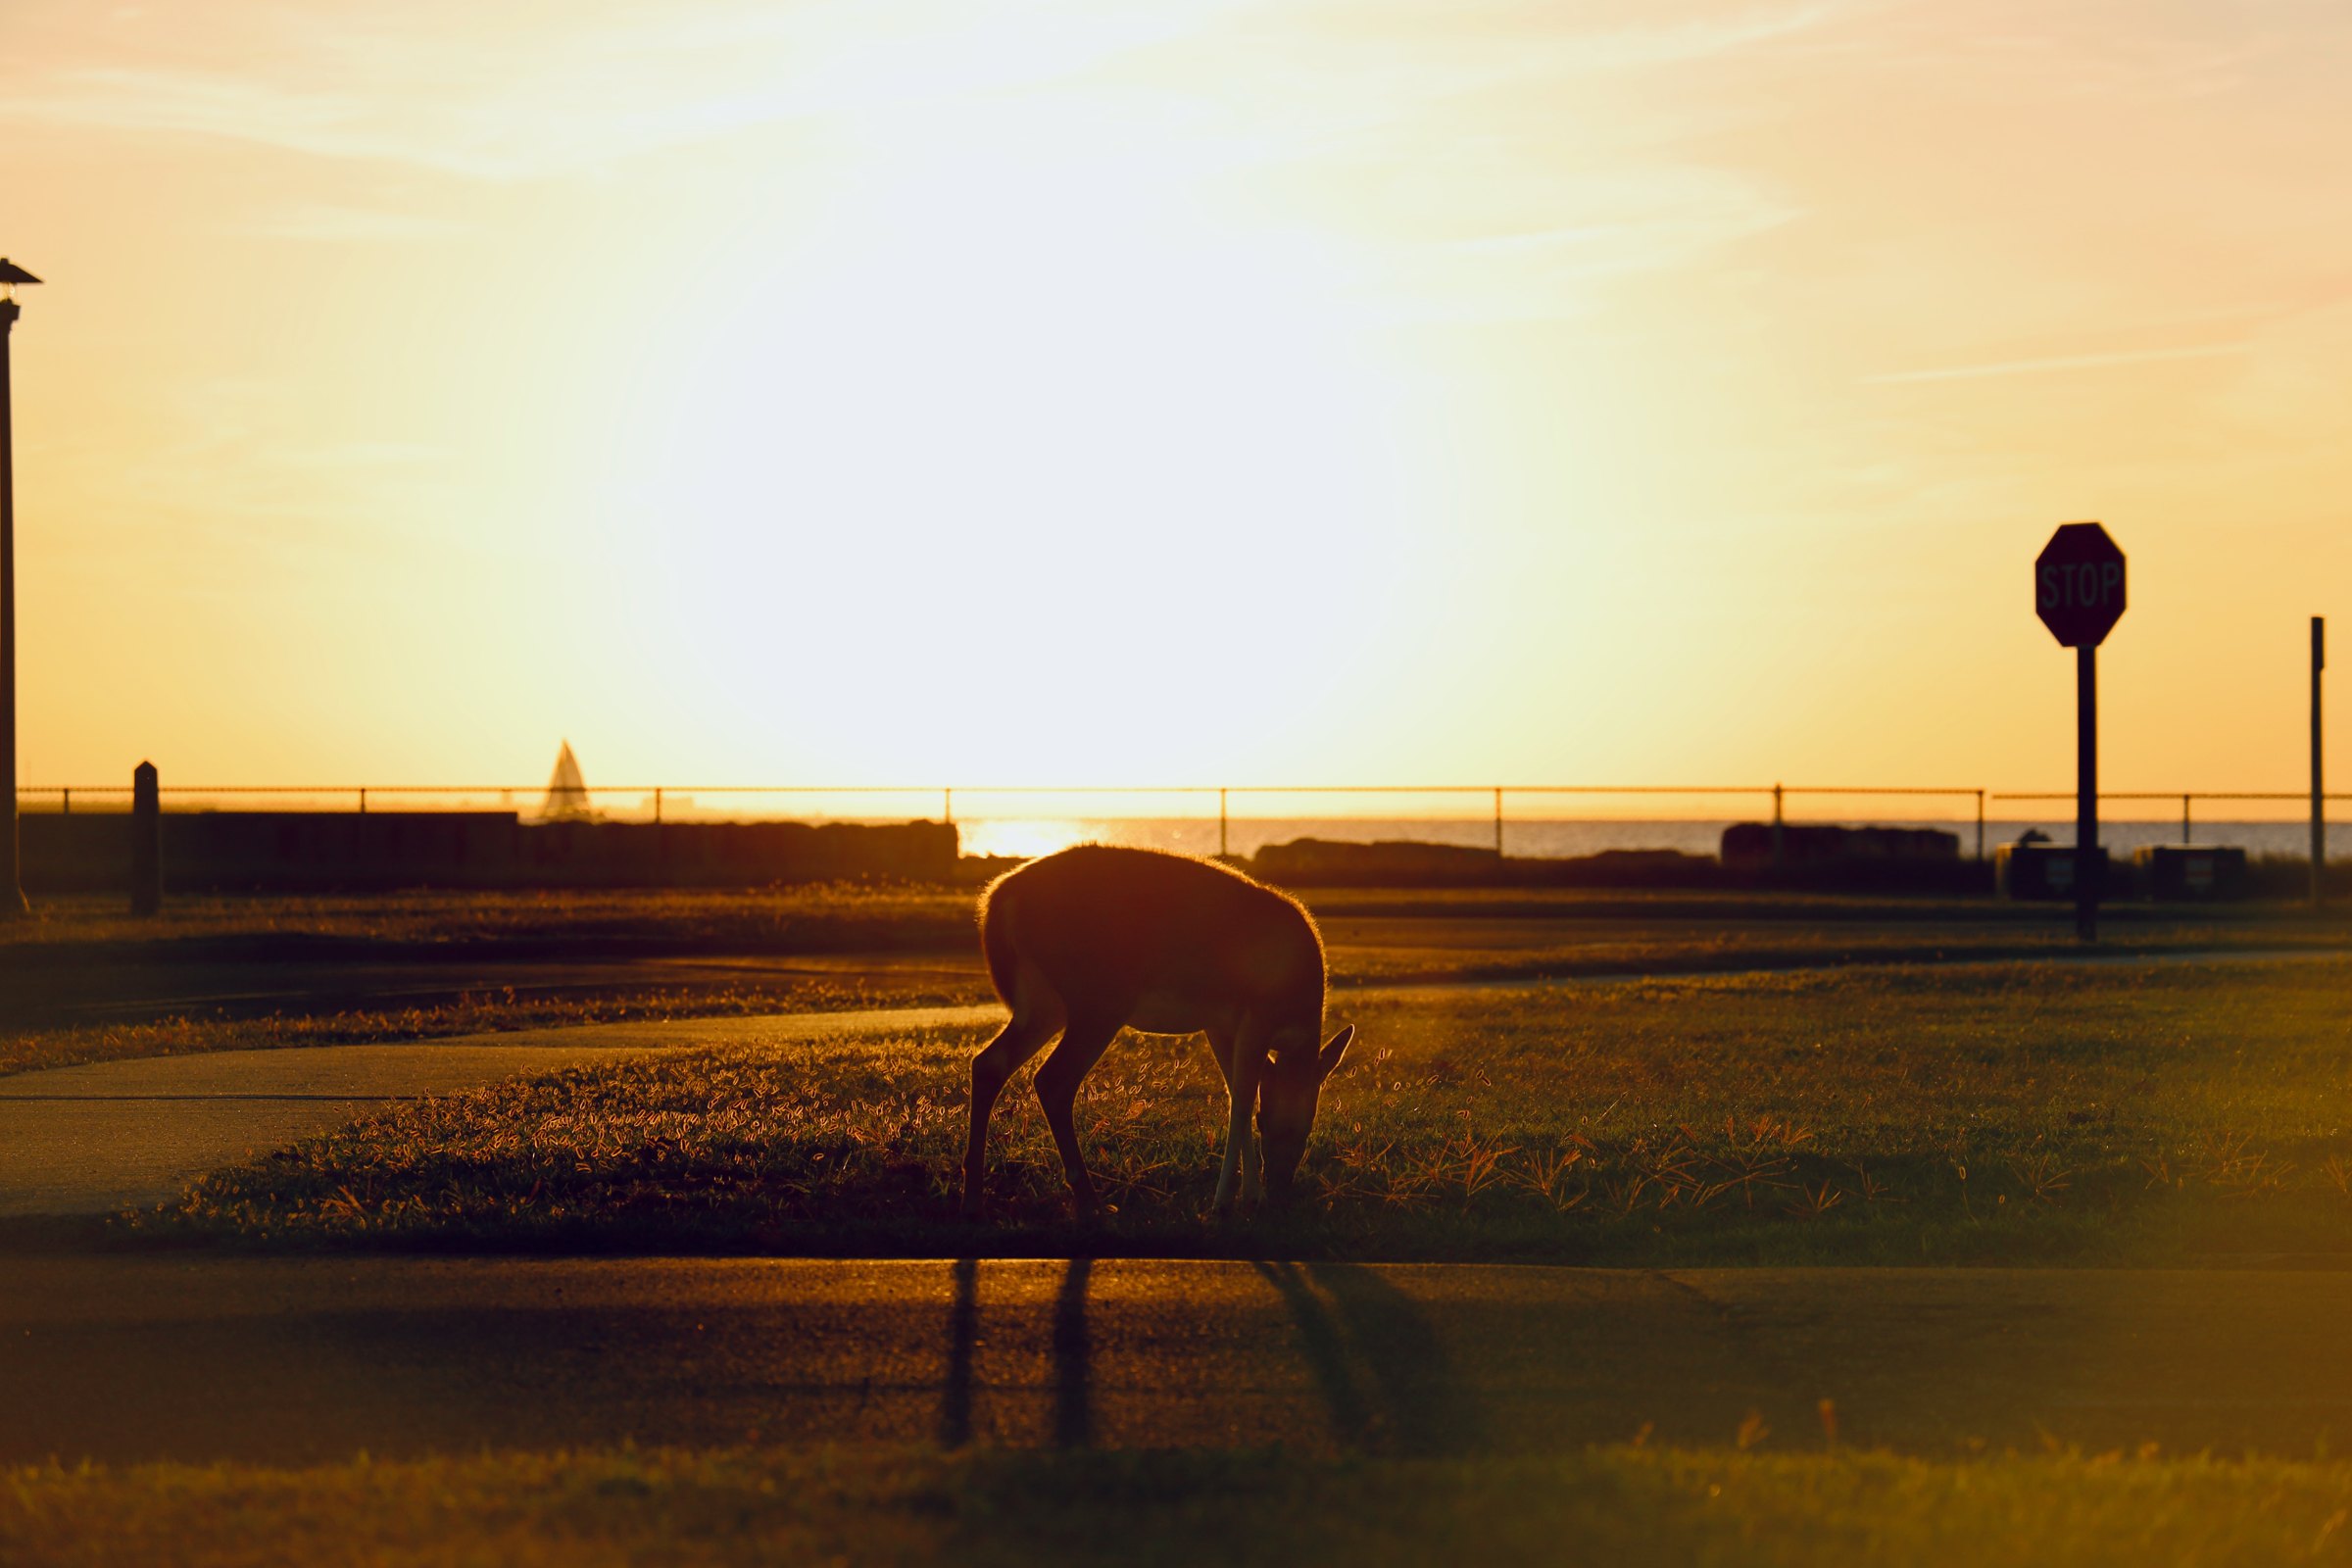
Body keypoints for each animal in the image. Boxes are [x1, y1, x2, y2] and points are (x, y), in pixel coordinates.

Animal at [961, 844, 1354, 1220]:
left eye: (1308, 1126)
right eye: (1270, 1123)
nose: (1280, 1187)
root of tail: (1000, 898)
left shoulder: (1221, 1024)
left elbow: (1236, 1092)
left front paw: (1249, 1196)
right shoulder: (1257, 1015)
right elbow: (1243, 1101)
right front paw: (1225, 1203)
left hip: (1042, 1000)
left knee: (989, 1063)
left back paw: (974, 1199)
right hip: (1099, 1000)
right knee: (1053, 1080)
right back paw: (1091, 1204)